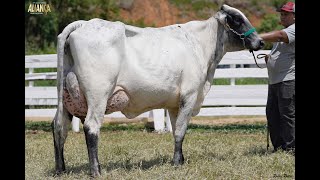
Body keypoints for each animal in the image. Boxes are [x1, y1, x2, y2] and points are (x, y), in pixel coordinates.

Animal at [52, 4, 262, 177]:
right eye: (237, 19)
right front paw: (177, 163)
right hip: (98, 95)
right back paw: (96, 171)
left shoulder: (174, 104)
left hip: (65, 97)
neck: (200, 45)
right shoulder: (189, 95)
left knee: (59, 126)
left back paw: (61, 169)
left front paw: (181, 160)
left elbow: (176, 130)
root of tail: (83, 24)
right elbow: (180, 131)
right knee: (91, 127)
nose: (260, 42)